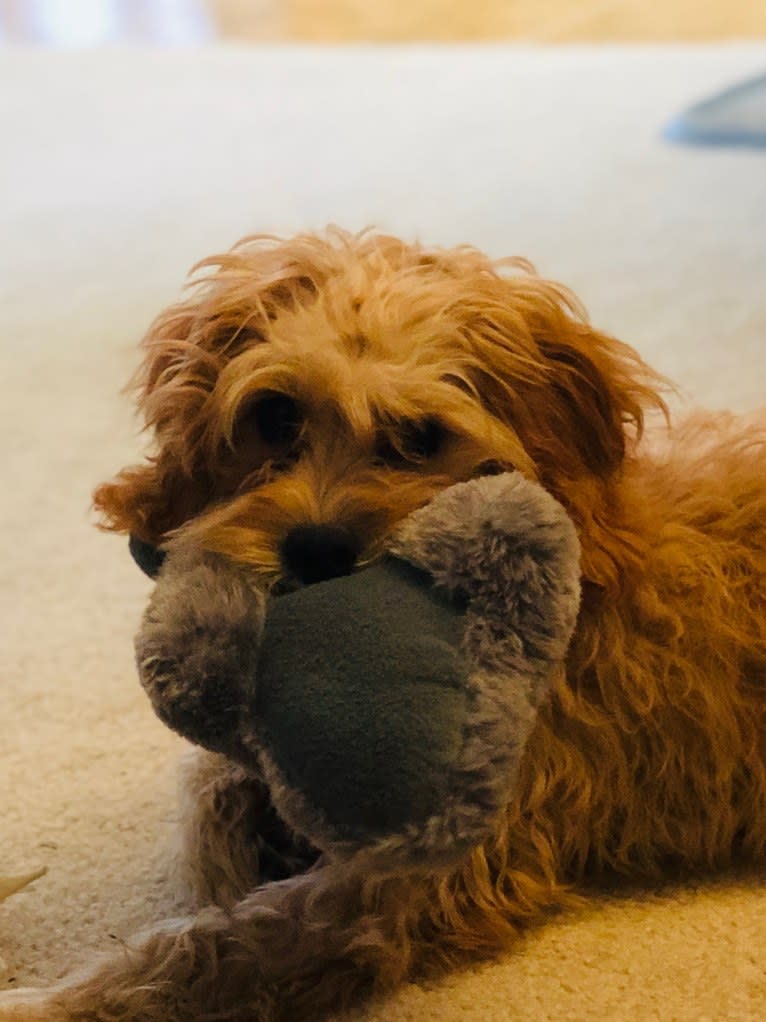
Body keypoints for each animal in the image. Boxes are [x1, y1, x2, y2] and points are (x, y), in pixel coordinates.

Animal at [3, 229, 763, 1021]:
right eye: (275, 416)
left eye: (421, 437)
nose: (317, 549)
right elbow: (210, 796)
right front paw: (235, 853)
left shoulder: (423, 875)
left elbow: (212, 950)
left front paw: (52, 1003)